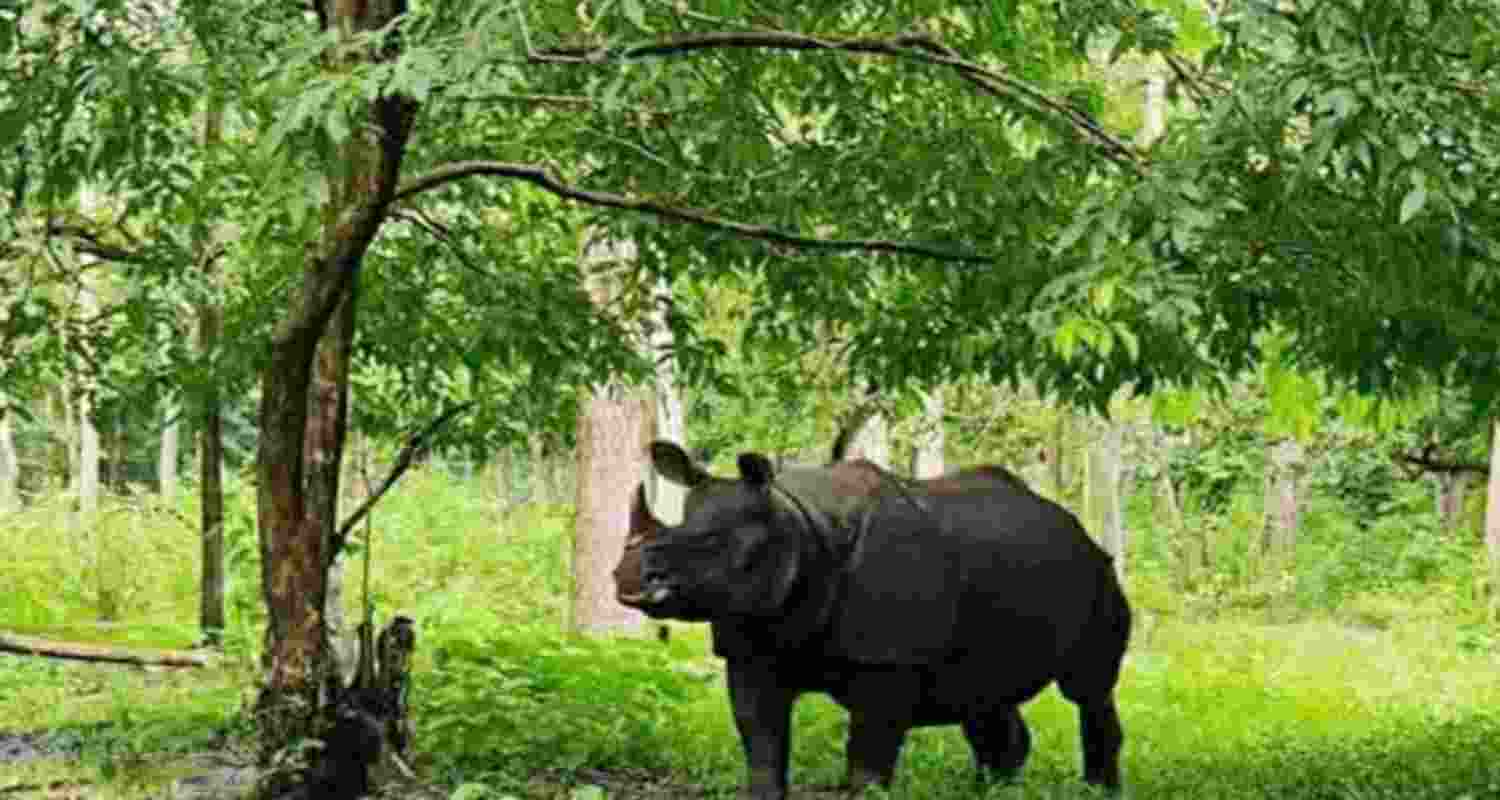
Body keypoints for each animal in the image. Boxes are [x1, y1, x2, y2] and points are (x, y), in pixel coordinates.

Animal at [614, 442, 1131, 799]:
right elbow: (762, 748)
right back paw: (993, 790)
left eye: (713, 544)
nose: (629, 576)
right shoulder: (754, 641)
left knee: (1087, 690)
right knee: (983, 697)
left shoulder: (888, 662)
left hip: (1099, 573)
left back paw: (1097, 790)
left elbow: (867, 764)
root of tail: (1076, 527)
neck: (796, 523)